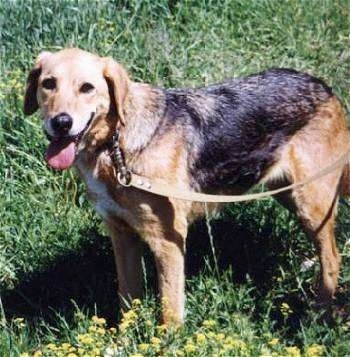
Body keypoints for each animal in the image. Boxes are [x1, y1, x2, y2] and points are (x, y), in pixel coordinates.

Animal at [23, 48, 348, 324]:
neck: (116, 147)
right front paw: (124, 339)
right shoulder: (122, 235)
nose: (61, 123)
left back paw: (318, 314)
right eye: (49, 84)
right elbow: (127, 297)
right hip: (289, 195)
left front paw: (167, 344)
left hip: (311, 203)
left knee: (332, 257)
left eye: (87, 88)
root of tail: (325, 88)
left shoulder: (166, 241)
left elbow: (170, 308)